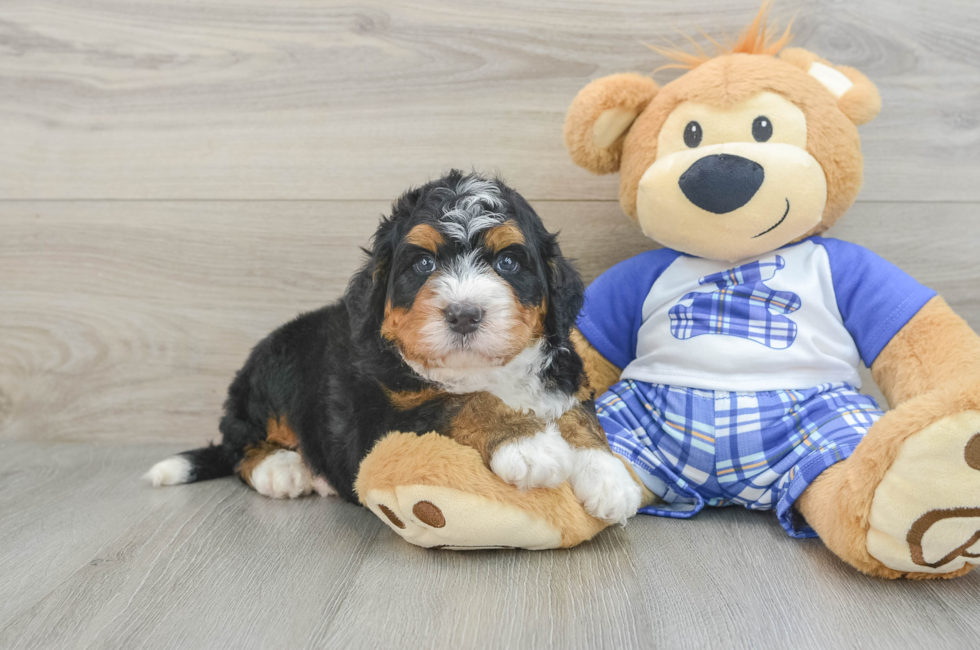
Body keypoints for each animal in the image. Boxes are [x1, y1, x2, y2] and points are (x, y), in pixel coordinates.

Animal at [142, 171, 640, 520]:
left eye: (508, 262)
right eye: (422, 264)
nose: (464, 314)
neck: (482, 370)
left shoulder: (565, 375)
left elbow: (578, 416)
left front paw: (609, 476)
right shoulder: (381, 420)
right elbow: (463, 402)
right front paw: (529, 443)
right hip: (275, 366)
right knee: (239, 444)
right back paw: (283, 469)